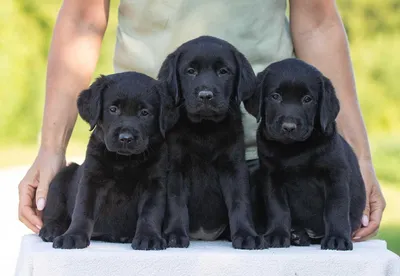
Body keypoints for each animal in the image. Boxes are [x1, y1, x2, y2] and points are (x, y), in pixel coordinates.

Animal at [39, 72, 172, 251]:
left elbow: (150, 212)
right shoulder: (92, 179)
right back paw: (52, 229)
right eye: (113, 109)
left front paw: (149, 237)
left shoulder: (155, 183)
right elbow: (83, 210)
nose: (126, 138)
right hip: (62, 177)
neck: (125, 160)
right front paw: (73, 236)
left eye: (144, 113)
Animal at [158, 35, 264, 249]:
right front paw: (174, 234)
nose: (205, 95)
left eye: (223, 71)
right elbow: (176, 201)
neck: (205, 129)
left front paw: (246, 234)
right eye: (190, 71)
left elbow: (240, 201)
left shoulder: (234, 166)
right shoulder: (176, 168)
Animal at [244, 58, 366, 250]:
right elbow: (278, 208)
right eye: (275, 96)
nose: (289, 127)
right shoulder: (271, 177)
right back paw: (296, 235)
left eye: (307, 99)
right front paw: (277, 234)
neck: (294, 150)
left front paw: (337, 238)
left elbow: (336, 209)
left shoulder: (336, 175)